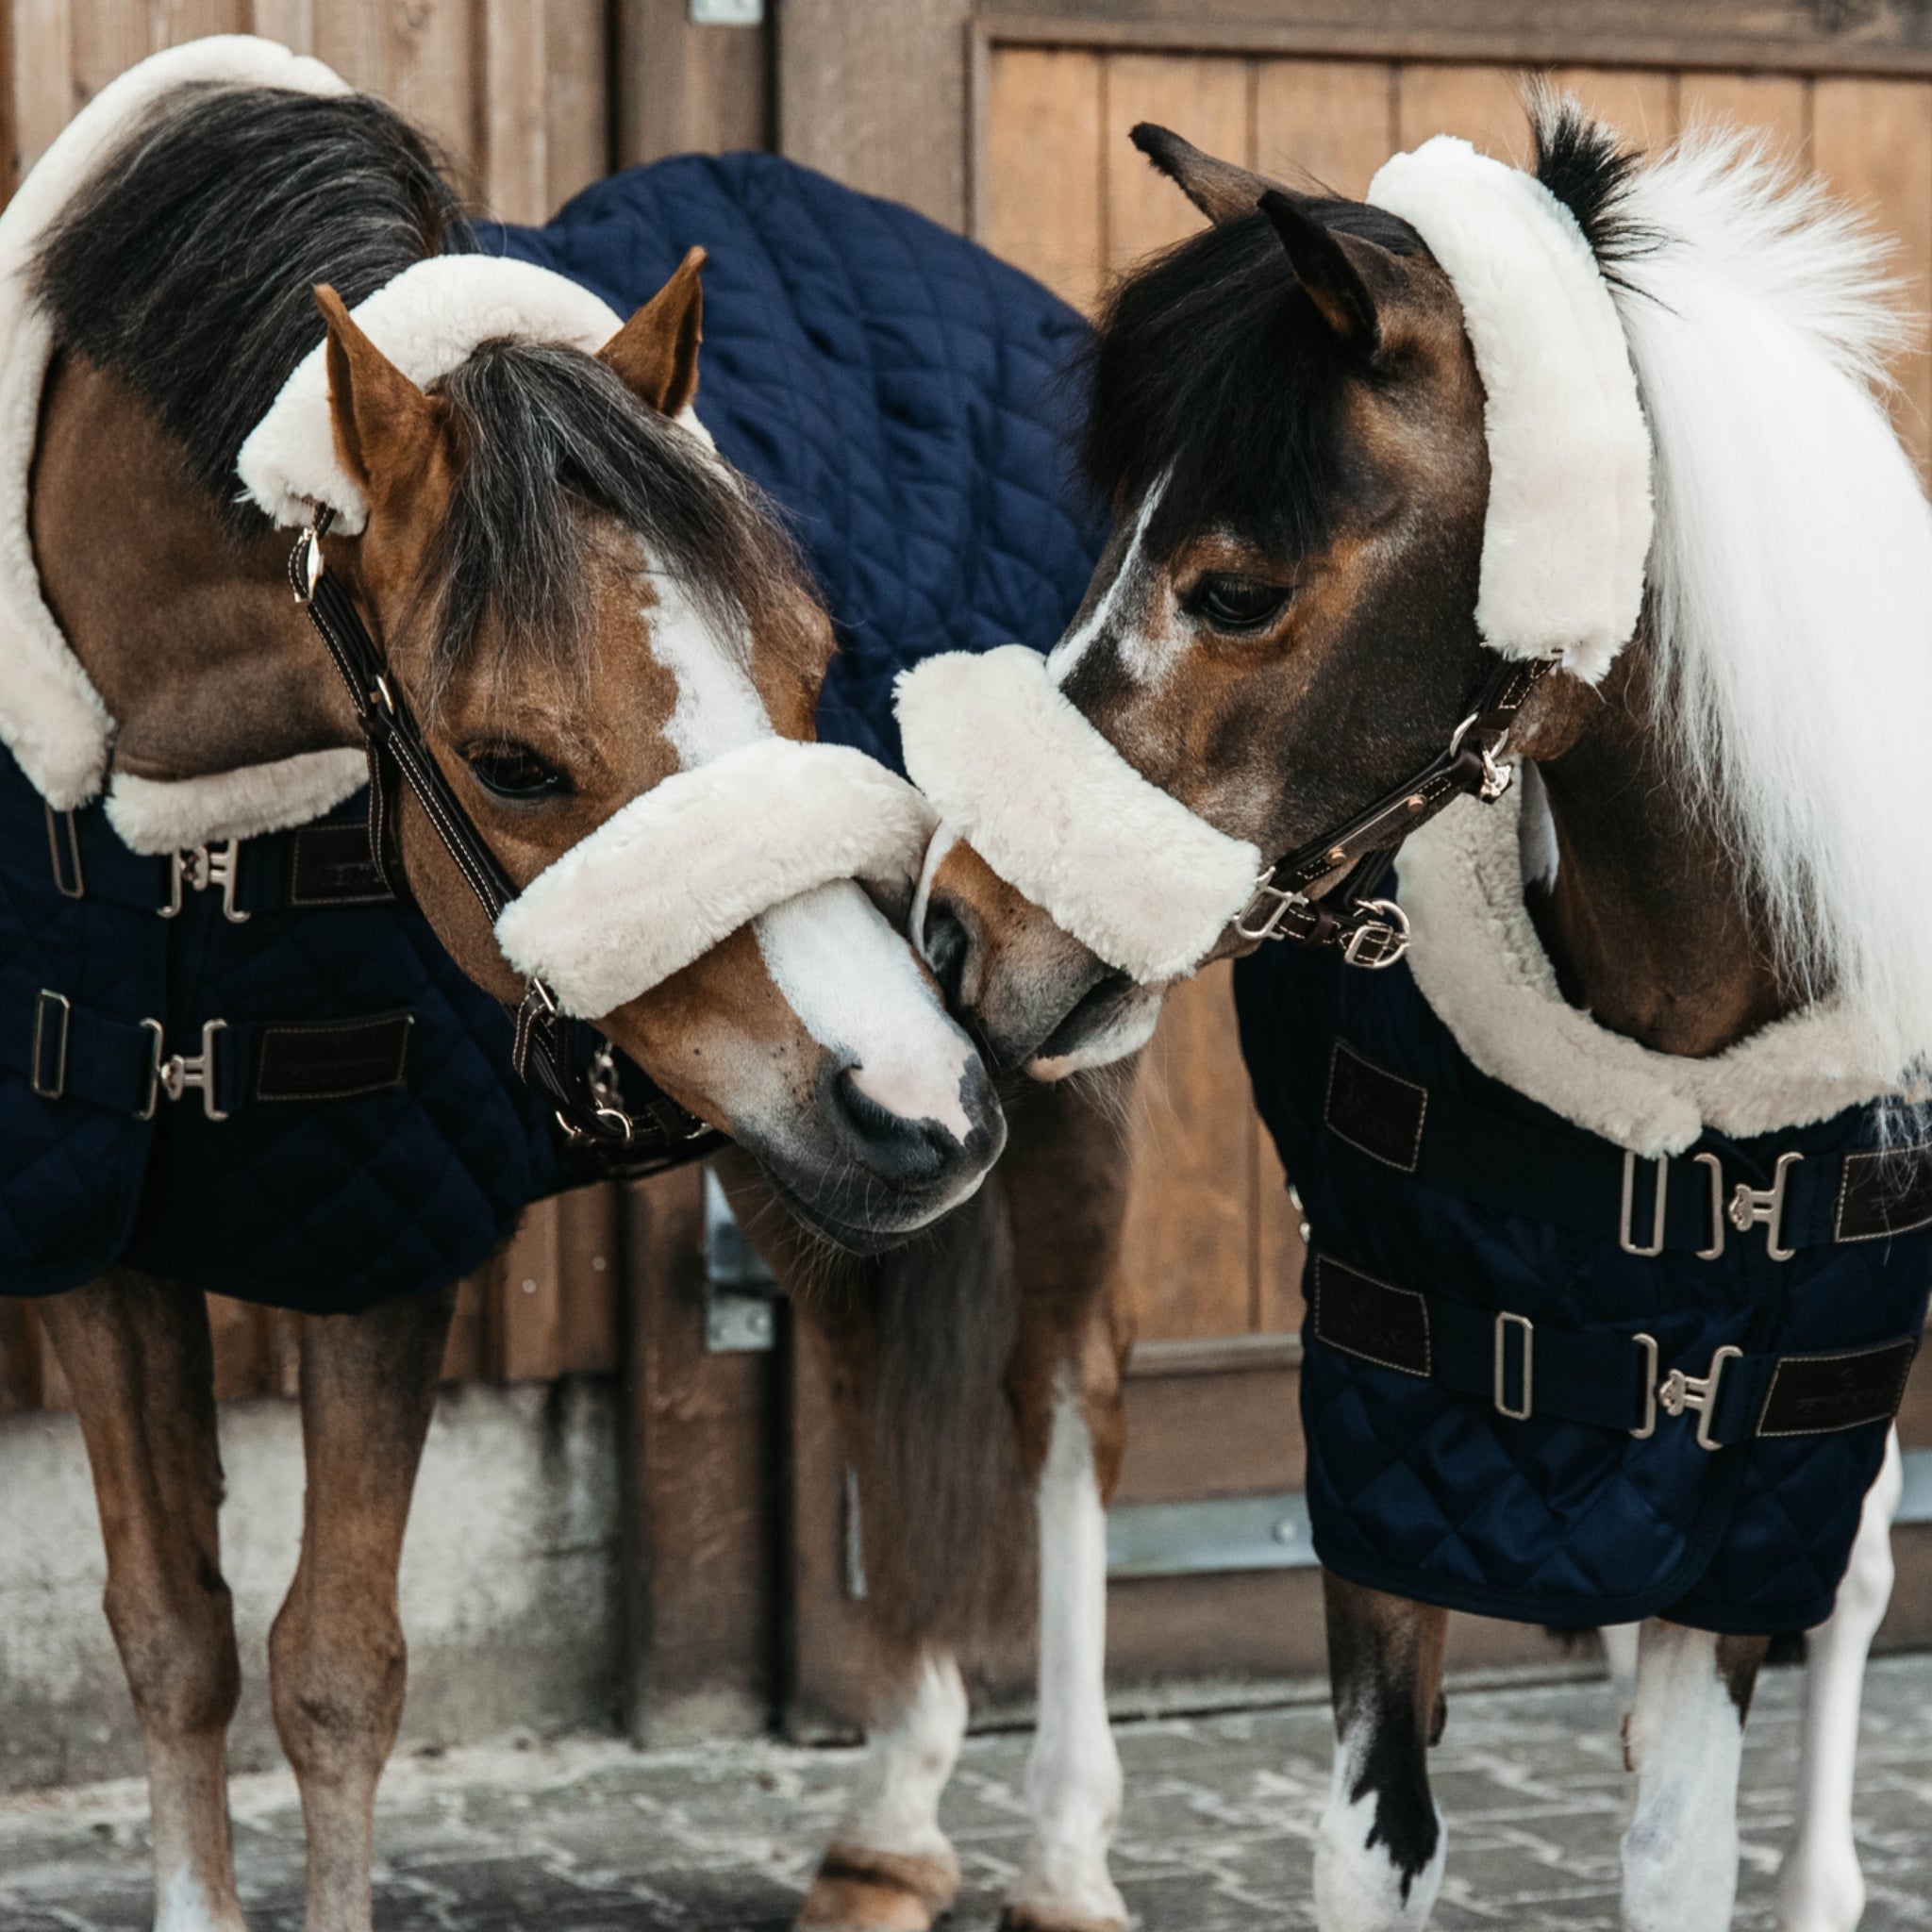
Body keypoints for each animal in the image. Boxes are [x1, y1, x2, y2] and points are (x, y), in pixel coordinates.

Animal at [1, 37, 1022, 1932]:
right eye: (512, 762)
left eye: (813, 665)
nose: (922, 1105)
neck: (178, 819)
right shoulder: (94, 1231)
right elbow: (170, 1632)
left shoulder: (380, 1246)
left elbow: (335, 1667)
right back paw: (884, 1838)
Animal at [896, 99, 1932, 1932]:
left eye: (1234, 589)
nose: (956, 923)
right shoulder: (1394, 1448)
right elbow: (1380, 1830)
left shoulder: (1763, 1464)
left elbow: (1680, 1835)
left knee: (1869, 1567)